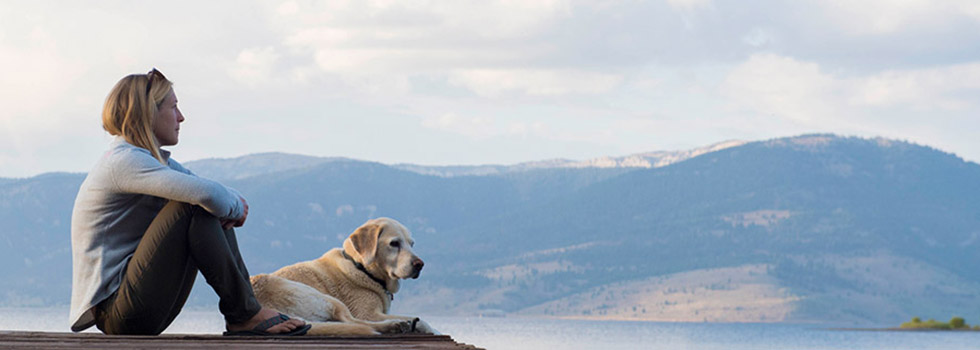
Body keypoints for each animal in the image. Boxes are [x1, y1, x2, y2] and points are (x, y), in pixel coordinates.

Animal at [249, 217, 436, 334]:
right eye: (394, 243)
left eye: (412, 244)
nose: (420, 265)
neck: (362, 268)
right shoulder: (368, 313)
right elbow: (423, 320)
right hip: (322, 297)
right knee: (353, 322)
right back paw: (394, 325)